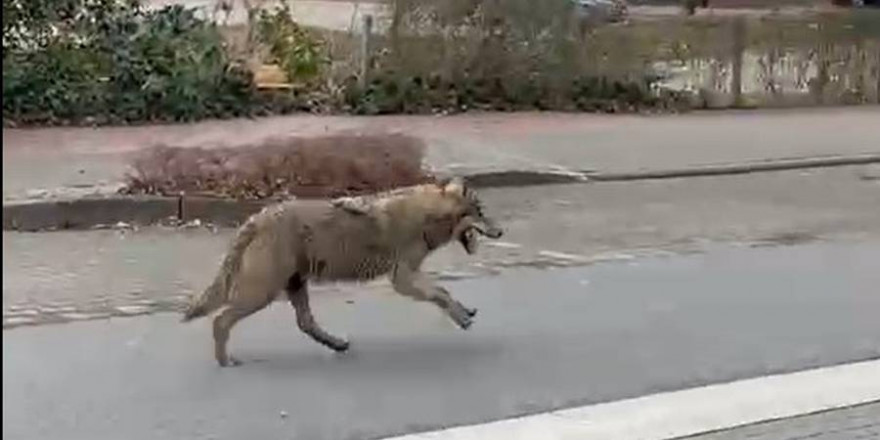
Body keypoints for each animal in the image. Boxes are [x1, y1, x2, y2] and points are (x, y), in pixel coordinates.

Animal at [180, 177, 502, 366]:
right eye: (481, 212)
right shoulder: (402, 278)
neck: (430, 213)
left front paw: (464, 310)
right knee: (220, 321)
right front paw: (461, 317)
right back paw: (225, 361)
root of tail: (258, 217)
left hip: (294, 286)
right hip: (261, 293)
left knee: (305, 323)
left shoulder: (409, 276)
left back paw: (336, 344)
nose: (500, 232)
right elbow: (441, 293)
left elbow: (443, 291)